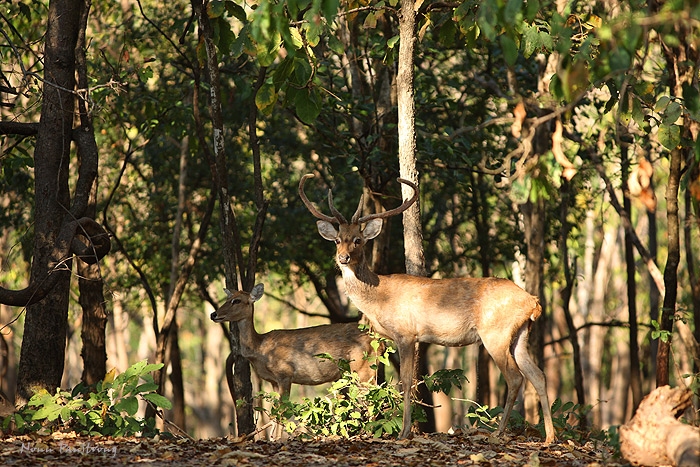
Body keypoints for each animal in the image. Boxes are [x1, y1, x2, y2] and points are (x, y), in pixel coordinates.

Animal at [209, 284, 380, 404]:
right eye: (227, 299)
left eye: (236, 301)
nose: (213, 314)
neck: (260, 349)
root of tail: (380, 341)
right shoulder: (273, 381)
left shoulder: (285, 373)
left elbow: (282, 411)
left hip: (362, 368)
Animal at [298, 174, 556, 444]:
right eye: (338, 240)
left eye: (358, 240)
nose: (343, 258)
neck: (379, 298)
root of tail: (533, 302)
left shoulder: (405, 333)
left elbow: (406, 381)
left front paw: (403, 432)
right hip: (520, 334)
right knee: (538, 375)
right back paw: (549, 436)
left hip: (495, 333)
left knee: (516, 377)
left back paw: (498, 432)